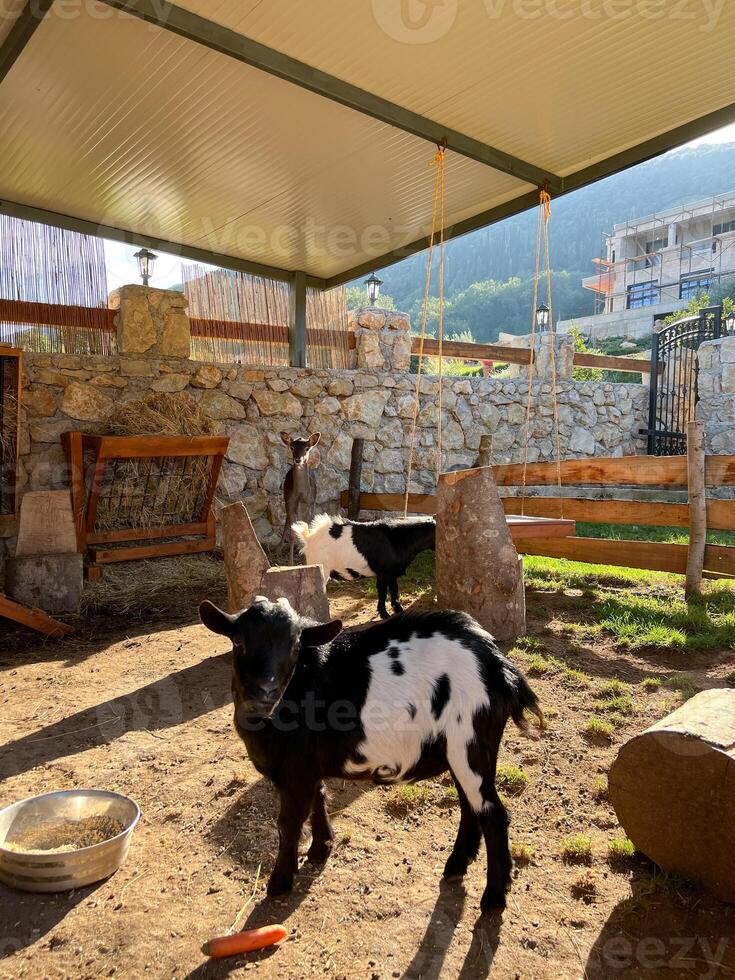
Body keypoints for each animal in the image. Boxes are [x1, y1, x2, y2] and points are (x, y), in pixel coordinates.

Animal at [198, 592, 544, 916]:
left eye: (295, 645)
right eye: (238, 641)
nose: (264, 694)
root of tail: (498, 664)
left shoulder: (295, 772)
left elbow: (289, 822)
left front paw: (279, 882)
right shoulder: (310, 764)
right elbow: (318, 799)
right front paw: (321, 850)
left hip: (470, 745)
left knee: (493, 814)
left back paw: (493, 898)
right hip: (458, 753)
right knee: (469, 806)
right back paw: (456, 866)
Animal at [290, 516, 434, 616]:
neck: (397, 540)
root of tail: (309, 538)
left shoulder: (391, 572)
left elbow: (394, 590)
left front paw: (398, 609)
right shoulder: (383, 573)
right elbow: (383, 592)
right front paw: (384, 614)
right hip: (321, 568)